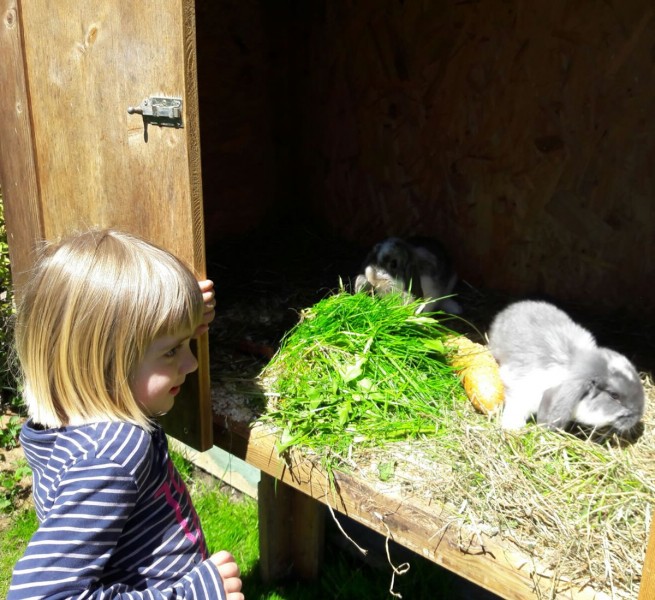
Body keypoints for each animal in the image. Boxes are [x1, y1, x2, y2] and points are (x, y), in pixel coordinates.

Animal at [486, 300, 644, 436]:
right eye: (614, 395)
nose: (638, 415)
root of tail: (510, 308)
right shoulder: (522, 388)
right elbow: (516, 405)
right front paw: (512, 426)